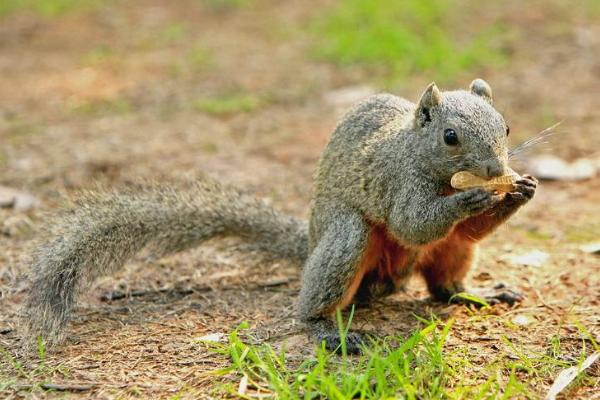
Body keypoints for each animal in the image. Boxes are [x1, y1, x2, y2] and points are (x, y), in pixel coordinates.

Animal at [22, 79, 540, 354]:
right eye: (451, 137)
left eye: (506, 126)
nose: (495, 170)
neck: (418, 151)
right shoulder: (397, 180)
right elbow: (413, 222)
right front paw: (473, 199)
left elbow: (466, 229)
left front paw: (520, 191)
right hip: (347, 239)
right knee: (323, 294)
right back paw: (328, 331)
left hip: (452, 253)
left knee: (444, 283)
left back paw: (476, 295)